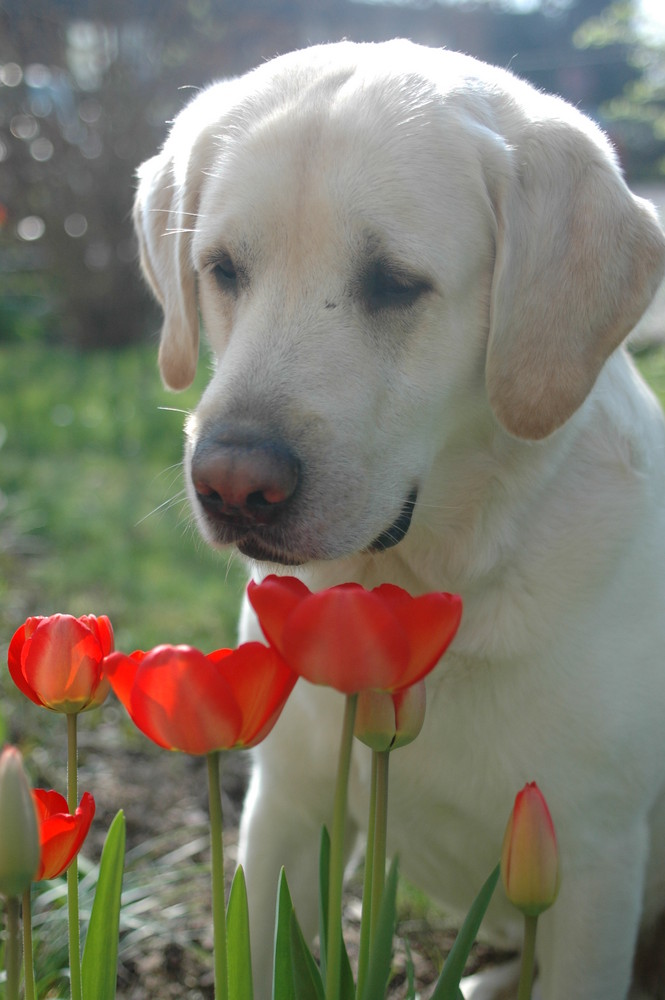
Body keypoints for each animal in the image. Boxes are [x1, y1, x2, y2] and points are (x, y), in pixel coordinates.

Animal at [132, 41, 664, 1000]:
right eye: (223, 268)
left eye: (393, 284)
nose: (231, 484)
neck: (433, 577)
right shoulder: (286, 803)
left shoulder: (595, 862)